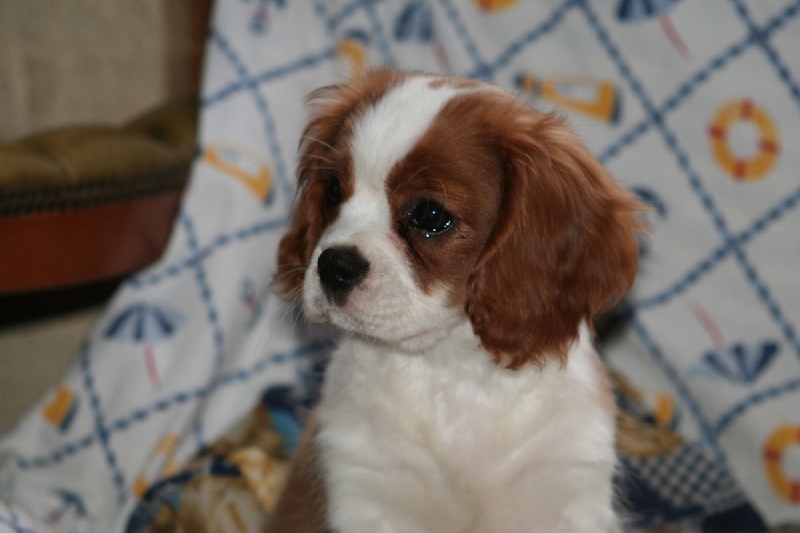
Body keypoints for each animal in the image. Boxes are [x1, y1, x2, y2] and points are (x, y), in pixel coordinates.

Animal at [269, 69, 643, 532]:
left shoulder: (567, 494)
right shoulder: (366, 491)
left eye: (431, 216)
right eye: (334, 191)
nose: (333, 265)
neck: (450, 365)